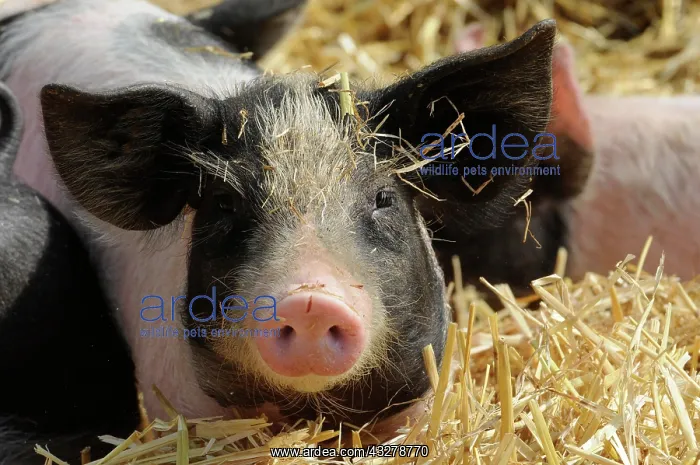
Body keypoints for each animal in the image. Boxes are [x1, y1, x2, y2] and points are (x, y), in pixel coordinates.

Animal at [0, 0, 557, 459]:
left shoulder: (417, 395)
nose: (311, 300)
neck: (311, 411)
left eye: (383, 198)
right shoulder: (180, 403)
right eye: (224, 203)